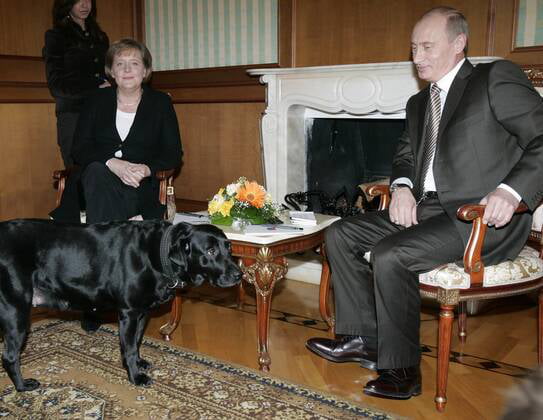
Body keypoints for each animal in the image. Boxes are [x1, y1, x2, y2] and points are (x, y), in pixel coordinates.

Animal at [0, 218, 242, 392]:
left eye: (229, 248)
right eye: (210, 251)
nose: (239, 274)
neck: (156, 253)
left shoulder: (143, 313)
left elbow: (136, 342)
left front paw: (139, 363)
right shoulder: (129, 313)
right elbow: (129, 347)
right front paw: (135, 376)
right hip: (16, 311)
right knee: (10, 356)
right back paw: (22, 387)